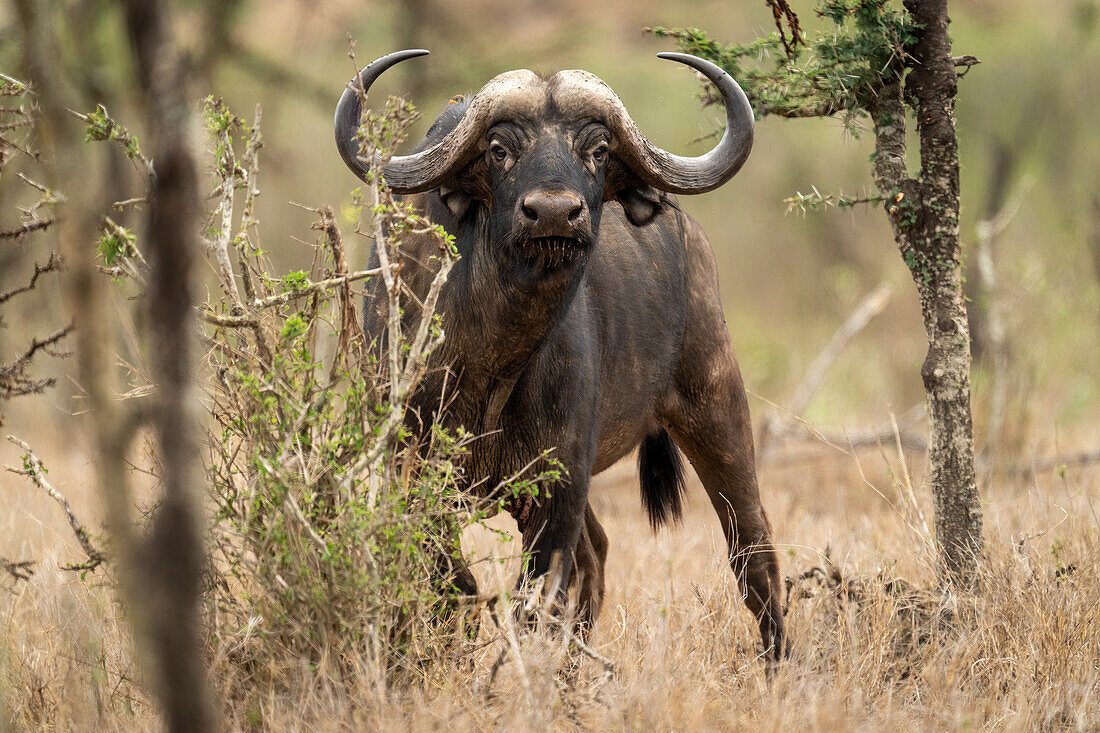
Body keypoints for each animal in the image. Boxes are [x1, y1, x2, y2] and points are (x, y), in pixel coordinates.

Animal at [330, 50, 787, 655]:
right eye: (499, 150)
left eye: (598, 150)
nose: (552, 213)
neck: (492, 357)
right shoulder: (412, 471)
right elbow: (454, 585)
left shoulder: (558, 485)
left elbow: (535, 601)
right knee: (597, 553)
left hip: (716, 404)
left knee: (752, 552)